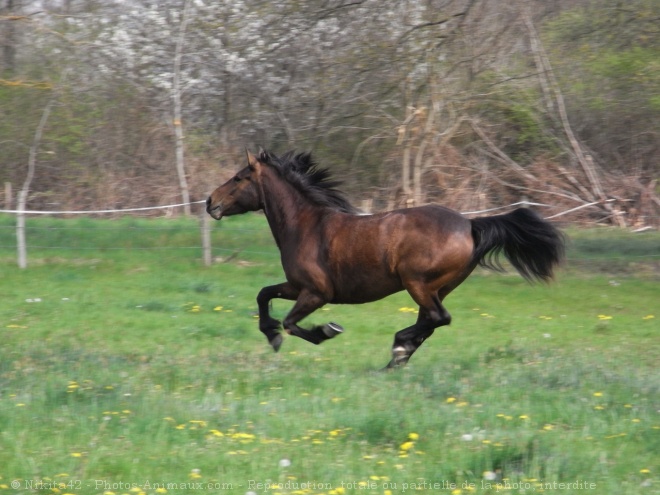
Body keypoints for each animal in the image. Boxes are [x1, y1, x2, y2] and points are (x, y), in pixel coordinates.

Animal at [205, 150, 564, 368]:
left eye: (239, 177)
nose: (210, 202)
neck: (305, 225)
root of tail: (471, 224)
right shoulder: (296, 286)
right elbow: (263, 294)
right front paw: (271, 334)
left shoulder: (317, 292)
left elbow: (293, 324)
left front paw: (326, 330)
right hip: (437, 288)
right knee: (431, 323)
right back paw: (396, 358)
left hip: (417, 283)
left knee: (438, 319)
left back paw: (398, 347)